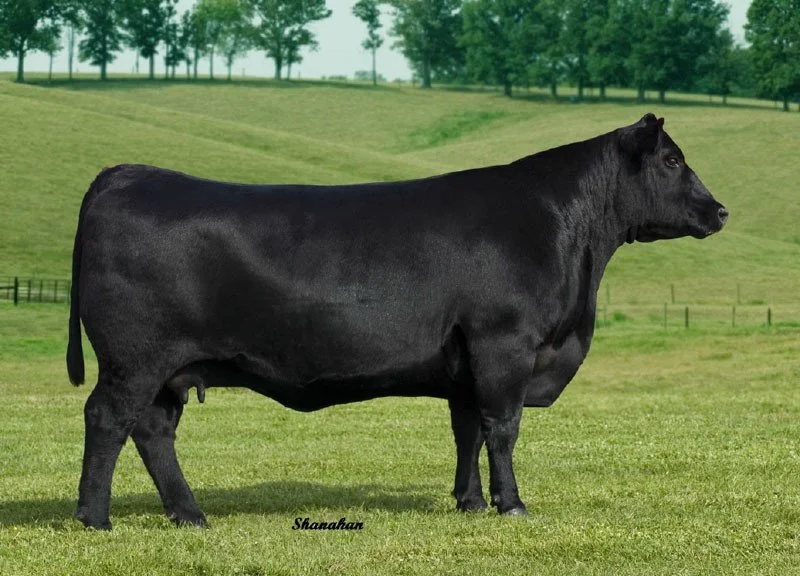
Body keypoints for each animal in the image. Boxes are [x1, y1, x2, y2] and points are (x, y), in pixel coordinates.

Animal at [66, 113, 727, 530]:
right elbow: (503, 429)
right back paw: (95, 519)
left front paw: (469, 502)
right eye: (672, 160)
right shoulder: (504, 343)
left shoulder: (466, 363)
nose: (720, 210)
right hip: (133, 359)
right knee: (108, 420)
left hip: (168, 370)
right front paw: (511, 505)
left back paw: (189, 514)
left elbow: (468, 430)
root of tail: (127, 173)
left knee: (153, 432)